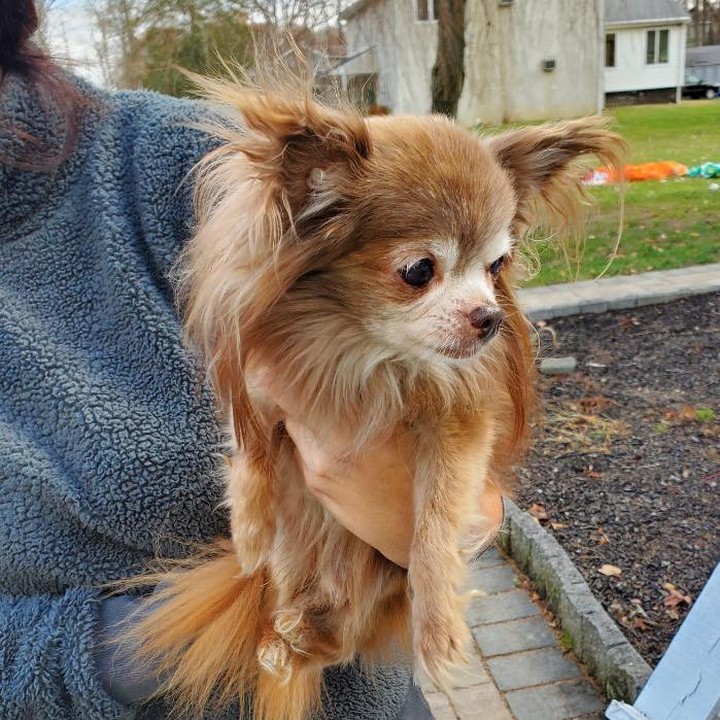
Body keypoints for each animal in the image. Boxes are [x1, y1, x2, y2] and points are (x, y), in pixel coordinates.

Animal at [131, 71, 624, 720]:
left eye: (497, 266)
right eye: (419, 271)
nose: (490, 317)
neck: (369, 354)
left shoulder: (458, 429)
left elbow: (435, 524)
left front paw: (437, 630)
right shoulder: (267, 392)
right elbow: (249, 454)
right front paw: (250, 529)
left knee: (343, 637)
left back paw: (296, 643)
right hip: (297, 563)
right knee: (293, 601)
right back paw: (281, 636)